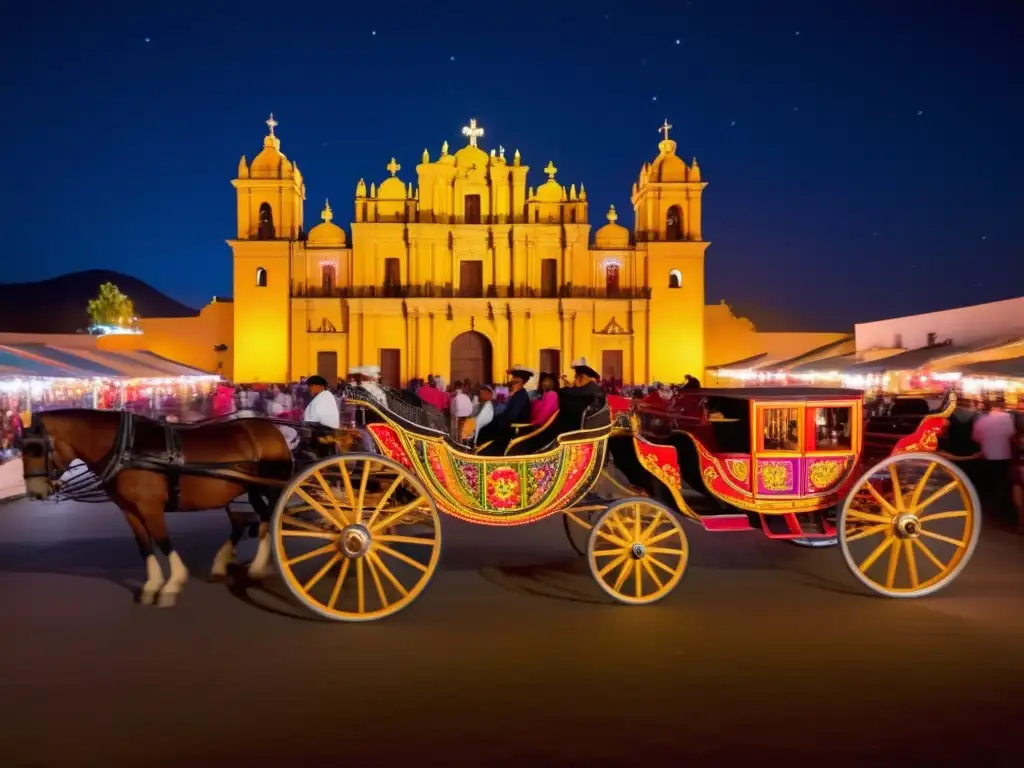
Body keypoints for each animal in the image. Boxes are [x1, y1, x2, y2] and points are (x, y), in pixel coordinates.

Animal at [20, 409, 296, 606]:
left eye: (37, 449)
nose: (35, 491)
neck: (126, 449)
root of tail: (272, 430)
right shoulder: (129, 510)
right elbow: (144, 544)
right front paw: (152, 585)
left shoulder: (150, 507)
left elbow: (163, 540)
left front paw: (173, 583)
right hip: (250, 490)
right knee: (254, 521)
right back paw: (227, 562)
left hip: (269, 488)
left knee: (270, 520)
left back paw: (258, 565)